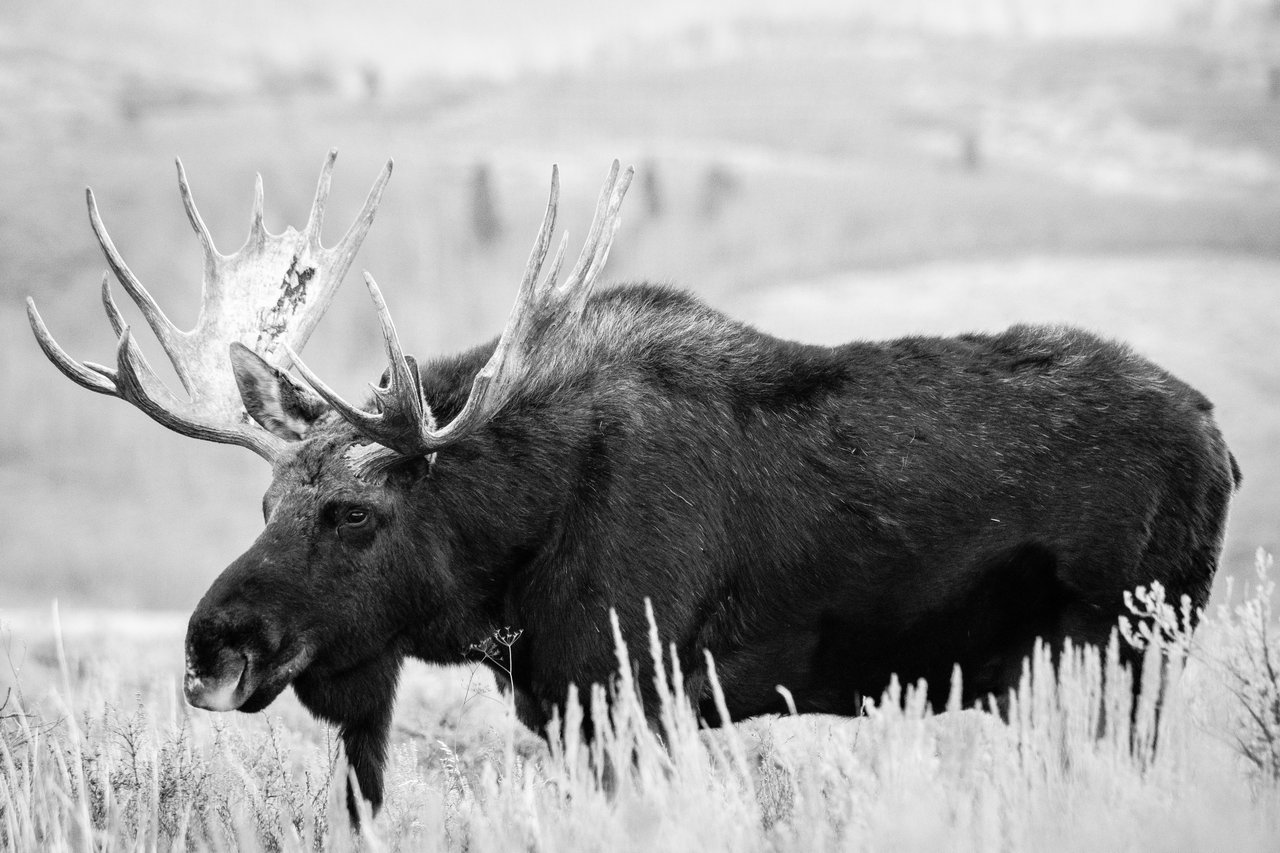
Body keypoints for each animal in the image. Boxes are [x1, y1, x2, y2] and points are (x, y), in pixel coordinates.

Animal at [28, 152, 1240, 822]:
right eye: (264, 507)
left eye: (355, 513)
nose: (212, 646)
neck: (510, 563)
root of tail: (1221, 441)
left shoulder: (628, 694)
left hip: (1126, 654)